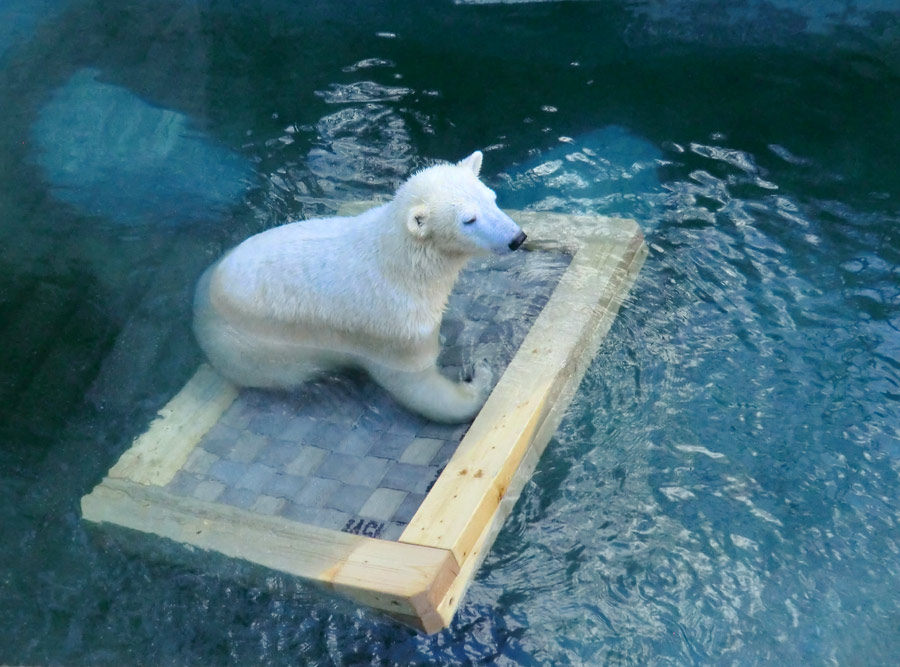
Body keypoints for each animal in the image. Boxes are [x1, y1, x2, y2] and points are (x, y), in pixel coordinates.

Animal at [193, 151, 524, 422]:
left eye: (492, 198)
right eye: (469, 219)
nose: (517, 238)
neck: (400, 263)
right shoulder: (394, 328)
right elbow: (417, 385)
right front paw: (479, 376)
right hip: (252, 350)